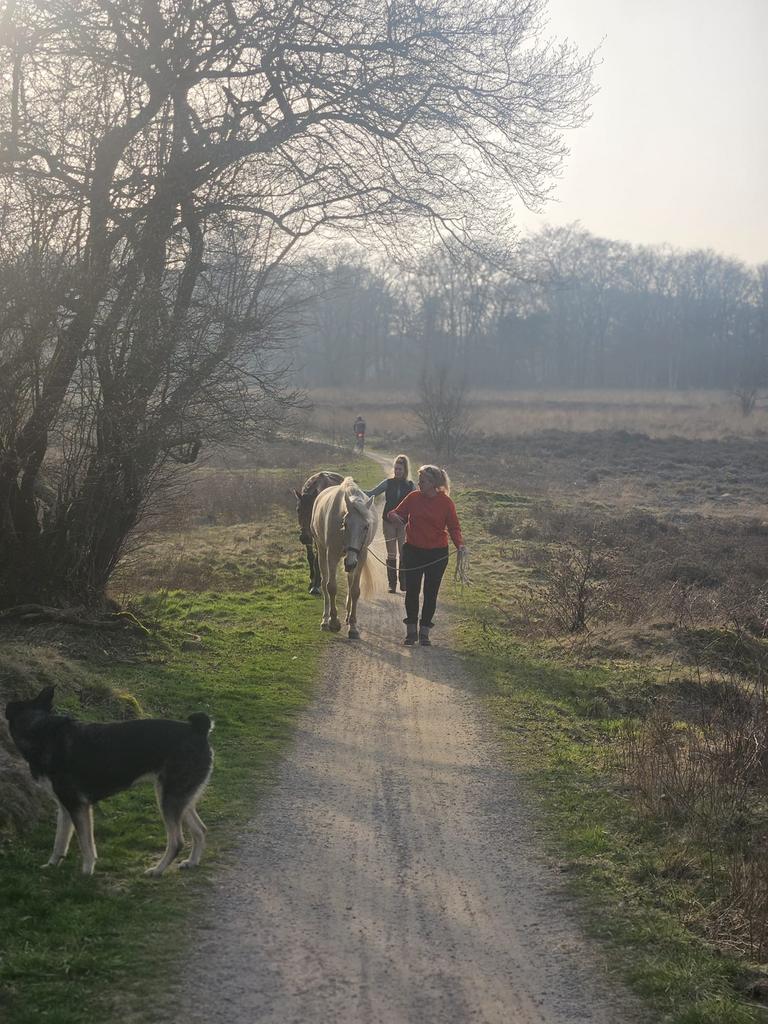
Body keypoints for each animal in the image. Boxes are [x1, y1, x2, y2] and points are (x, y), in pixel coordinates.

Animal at [311, 477, 378, 639]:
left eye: (366, 526)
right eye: (345, 524)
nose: (351, 562)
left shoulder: (360, 557)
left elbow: (355, 590)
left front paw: (353, 626)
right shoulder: (332, 554)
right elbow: (331, 587)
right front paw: (333, 622)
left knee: (349, 580)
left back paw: (347, 616)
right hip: (322, 551)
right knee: (324, 583)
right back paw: (325, 620)